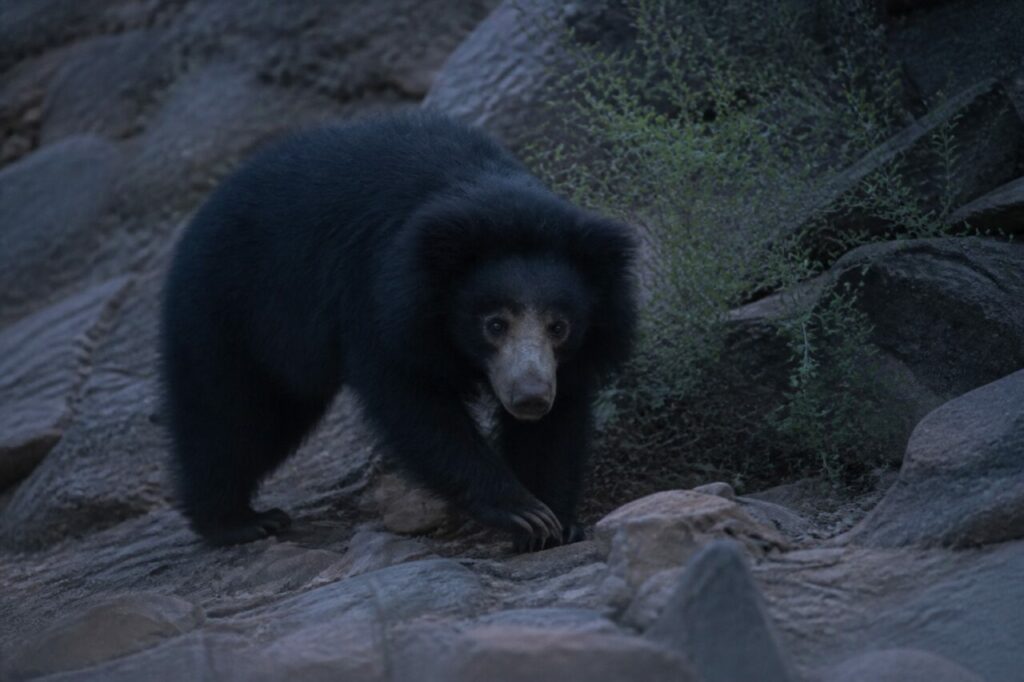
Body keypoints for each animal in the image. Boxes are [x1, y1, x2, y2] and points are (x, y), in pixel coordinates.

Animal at [159, 111, 636, 550]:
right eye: (495, 324)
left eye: (559, 326)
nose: (530, 397)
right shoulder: (380, 300)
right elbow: (415, 405)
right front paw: (522, 511)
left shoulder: (574, 356)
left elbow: (555, 428)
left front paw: (553, 524)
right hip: (229, 308)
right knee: (230, 413)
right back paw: (237, 521)